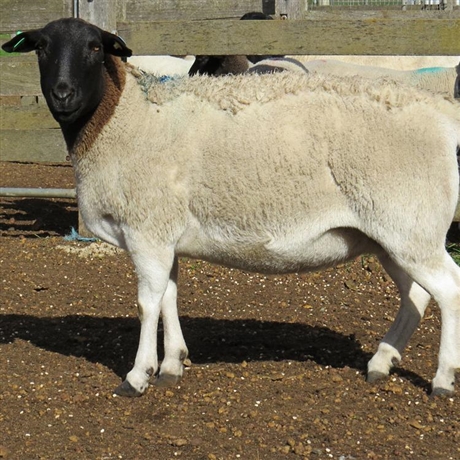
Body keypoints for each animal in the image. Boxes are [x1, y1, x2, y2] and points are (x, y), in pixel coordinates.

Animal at [3, 18, 460, 398]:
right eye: (41, 48)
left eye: (96, 48)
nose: (63, 93)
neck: (125, 118)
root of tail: (441, 117)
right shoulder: (165, 233)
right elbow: (169, 296)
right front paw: (172, 364)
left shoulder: (147, 229)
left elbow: (148, 304)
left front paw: (137, 376)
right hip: (391, 235)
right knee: (417, 296)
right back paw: (381, 363)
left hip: (409, 226)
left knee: (449, 290)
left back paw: (442, 379)